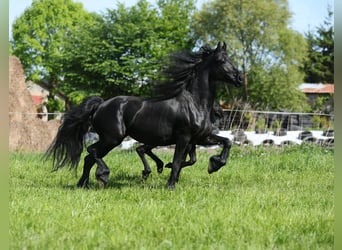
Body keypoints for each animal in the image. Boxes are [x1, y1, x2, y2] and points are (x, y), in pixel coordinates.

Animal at [45, 42, 243, 188]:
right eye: (221, 60)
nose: (240, 78)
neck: (195, 103)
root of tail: (101, 104)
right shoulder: (184, 138)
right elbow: (177, 162)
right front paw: (170, 185)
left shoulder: (200, 137)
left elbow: (226, 142)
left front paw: (213, 165)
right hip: (113, 138)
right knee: (92, 152)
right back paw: (103, 176)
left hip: (112, 139)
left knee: (89, 157)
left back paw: (84, 184)